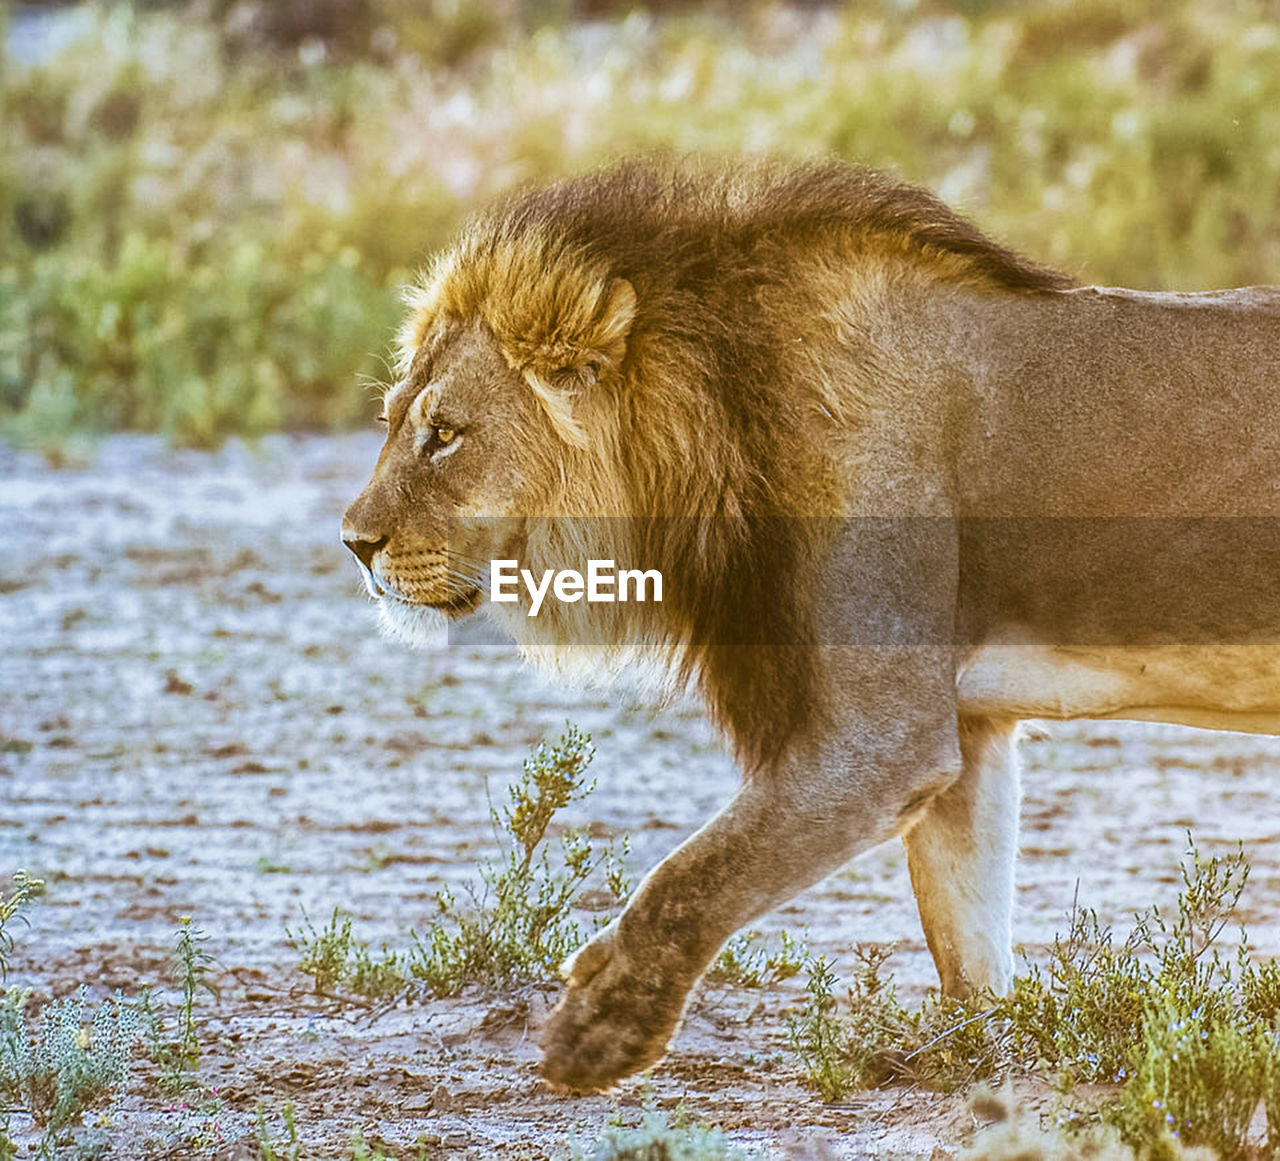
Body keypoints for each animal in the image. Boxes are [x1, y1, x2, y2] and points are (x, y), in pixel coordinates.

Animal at [340, 158, 1280, 1095]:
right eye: (391, 421)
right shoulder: (967, 730)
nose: (354, 542)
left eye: (445, 434)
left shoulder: (883, 739)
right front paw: (976, 1071)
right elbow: (967, 944)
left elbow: (695, 875)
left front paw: (598, 1027)